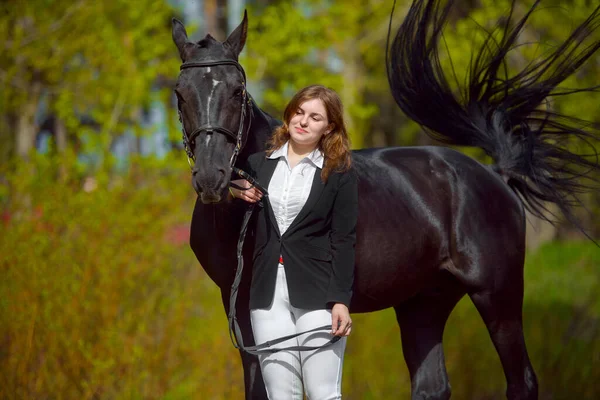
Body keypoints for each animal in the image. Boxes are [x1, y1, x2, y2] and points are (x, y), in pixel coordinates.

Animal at [171, 1, 596, 398]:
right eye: (180, 93)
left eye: (237, 90)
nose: (211, 177)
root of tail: (495, 174)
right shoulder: (242, 308)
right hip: (423, 303)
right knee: (431, 385)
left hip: (499, 296)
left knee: (521, 380)